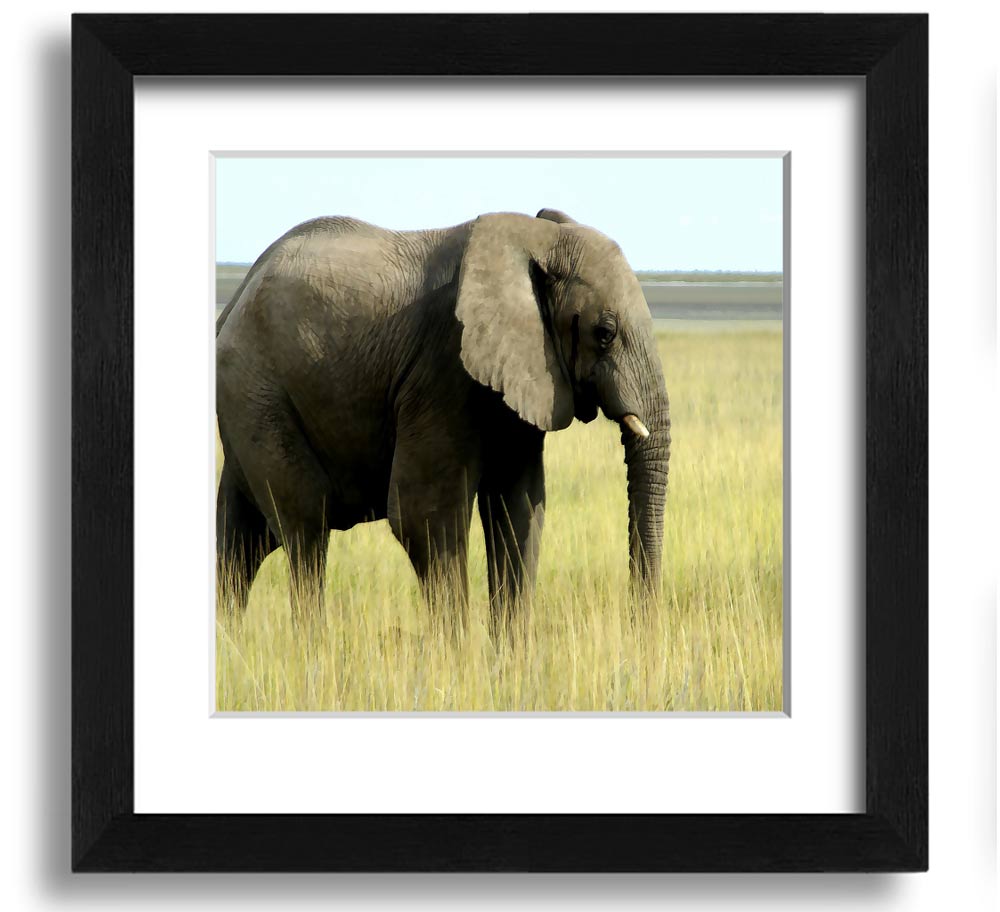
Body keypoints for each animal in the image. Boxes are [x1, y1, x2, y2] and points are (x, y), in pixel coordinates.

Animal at [215, 208, 670, 633]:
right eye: (605, 332)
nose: (637, 625)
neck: (534, 238)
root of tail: (237, 296)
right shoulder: (442, 367)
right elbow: (426, 517)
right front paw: (456, 655)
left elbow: (520, 507)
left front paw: (510, 658)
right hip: (257, 393)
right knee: (305, 526)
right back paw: (313, 648)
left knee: (242, 537)